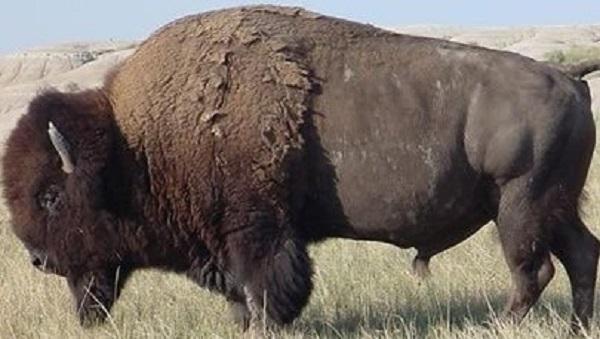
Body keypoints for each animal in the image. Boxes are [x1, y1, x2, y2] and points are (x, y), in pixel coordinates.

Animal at [3, 5, 600, 334]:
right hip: (554, 205)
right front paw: (242, 324)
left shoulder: (256, 231)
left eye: (51, 195)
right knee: (581, 255)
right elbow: (243, 294)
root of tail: (566, 74)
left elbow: (265, 287)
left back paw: (504, 323)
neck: (135, 144)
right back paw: (576, 327)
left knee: (534, 270)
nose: (37, 259)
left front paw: (261, 327)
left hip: (518, 205)